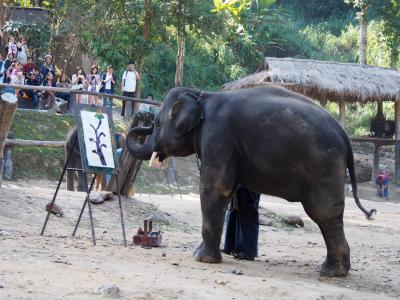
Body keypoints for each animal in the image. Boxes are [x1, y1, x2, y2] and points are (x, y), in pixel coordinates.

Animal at [126, 85, 376, 276]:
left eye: (158, 123)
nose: (146, 120)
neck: (201, 95)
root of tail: (345, 135)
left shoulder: (217, 135)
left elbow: (215, 188)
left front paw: (201, 258)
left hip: (323, 164)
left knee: (323, 212)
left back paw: (330, 272)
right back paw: (336, 271)